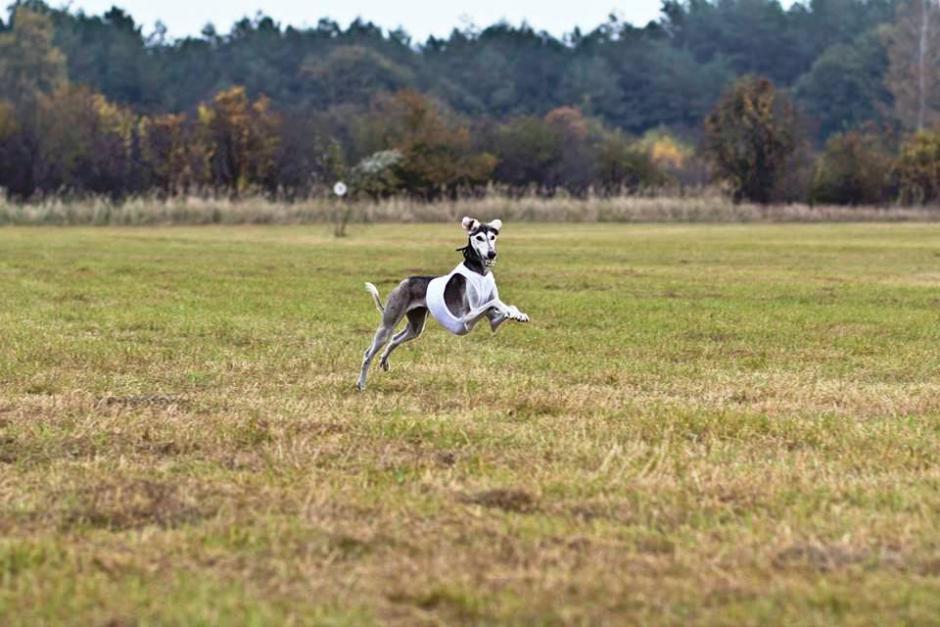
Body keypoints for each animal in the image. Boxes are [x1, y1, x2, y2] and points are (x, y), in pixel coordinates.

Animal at [356, 218, 528, 390]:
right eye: (479, 237)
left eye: (493, 237)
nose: (492, 254)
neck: (479, 271)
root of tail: (404, 282)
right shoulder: (467, 318)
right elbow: (495, 301)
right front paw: (512, 312)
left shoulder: (492, 321)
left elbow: (501, 308)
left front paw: (518, 314)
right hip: (387, 325)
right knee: (369, 353)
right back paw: (361, 384)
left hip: (416, 327)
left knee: (395, 339)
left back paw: (384, 360)